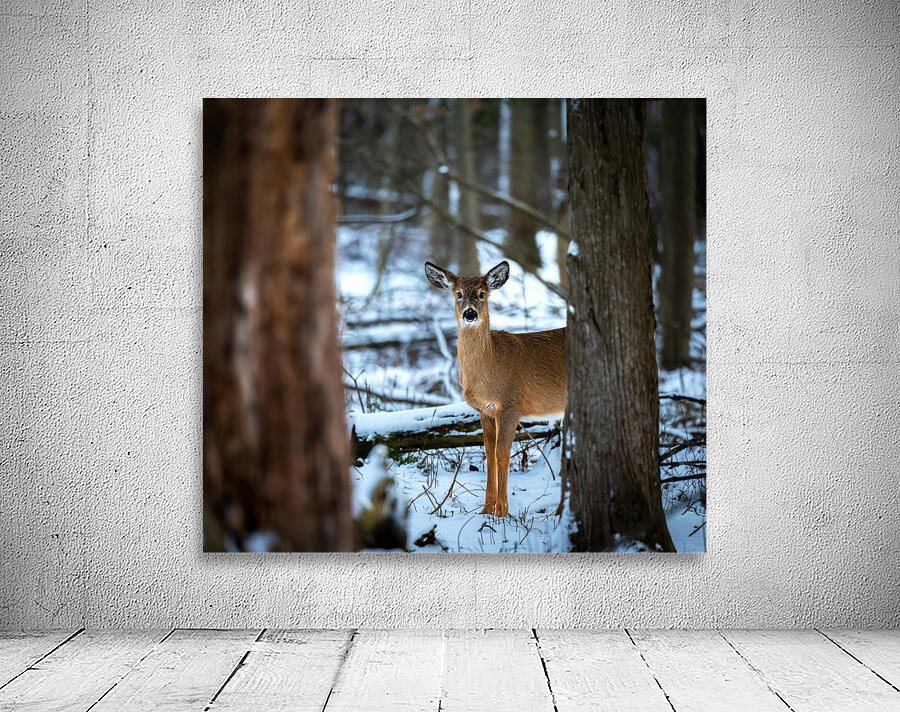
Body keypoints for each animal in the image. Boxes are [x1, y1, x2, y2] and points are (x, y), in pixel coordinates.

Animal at [424, 260, 566, 517]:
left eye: (482, 293)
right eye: (458, 294)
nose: (470, 313)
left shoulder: (511, 405)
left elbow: (502, 453)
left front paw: (502, 511)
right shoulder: (485, 410)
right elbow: (489, 452)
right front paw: (486, 509)